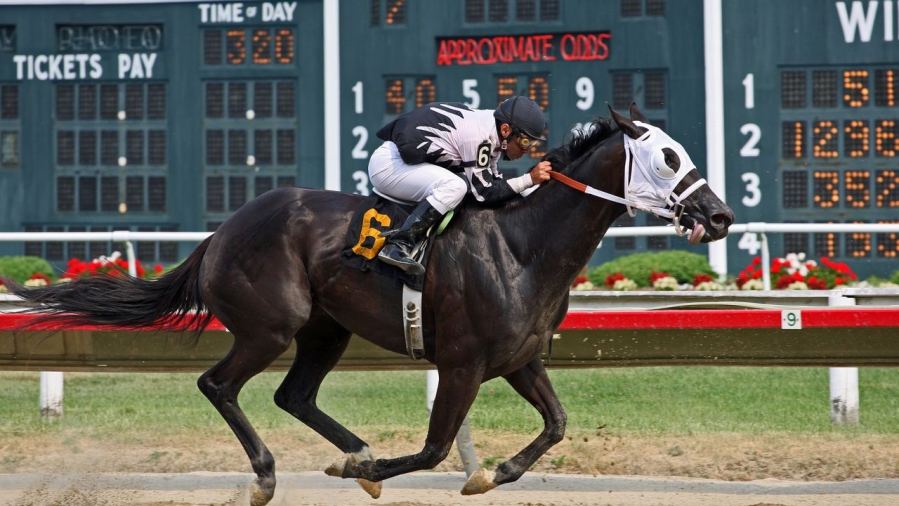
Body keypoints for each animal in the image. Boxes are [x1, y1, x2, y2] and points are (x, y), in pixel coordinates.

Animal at [8, 104, 733, 505]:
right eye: (669, 158)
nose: (720, 215)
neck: (521, 245)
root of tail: (223, 230)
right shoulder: (463, 362)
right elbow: (435, 449)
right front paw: (397, 471)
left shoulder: (519, 359)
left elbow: (556, 424)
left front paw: (493, 471)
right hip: (271, 327)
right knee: (218, 384)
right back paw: (270, 476)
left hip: (325, 330)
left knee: (293, 395)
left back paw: (352, 452)